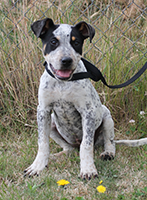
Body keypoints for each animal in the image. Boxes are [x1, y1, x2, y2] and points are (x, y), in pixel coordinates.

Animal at [24, 18, 147, 179]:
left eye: (76, 42)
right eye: (53, 41)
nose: (66, 60)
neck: (63, 83)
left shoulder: (87, 112)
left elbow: (86, 145)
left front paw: (88, 169)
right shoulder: (43, 110)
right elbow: (43, 143)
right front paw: (37, 166)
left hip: (107, 118)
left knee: (109, 142)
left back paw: (108, 152)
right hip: (51, 122)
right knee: (69, 149)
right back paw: (59, 155)